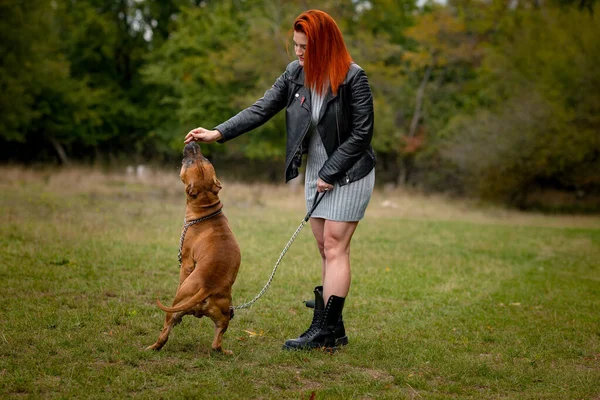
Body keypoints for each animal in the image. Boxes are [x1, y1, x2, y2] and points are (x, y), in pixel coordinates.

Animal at [148, 143, 241, 354]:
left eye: (189, 162)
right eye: (205, 158)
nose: (193, 143)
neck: (206, 208)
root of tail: (207, 286)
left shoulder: (187, 261)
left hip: (177, 305)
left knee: (165, 330)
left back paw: (151, 347)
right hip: (223, 316)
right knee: (216, 344)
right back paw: (224, 351)